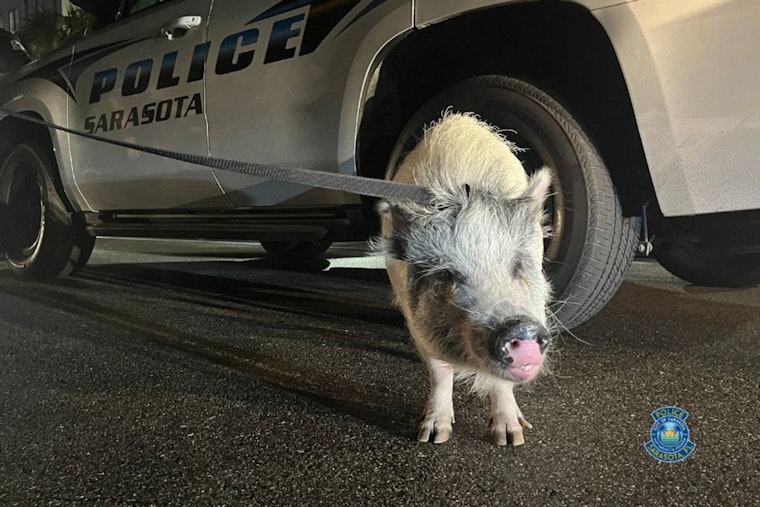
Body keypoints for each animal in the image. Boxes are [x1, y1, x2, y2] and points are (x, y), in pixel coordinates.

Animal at [375, 113, 554, 446]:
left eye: (517, 265)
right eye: (447, 274)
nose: (519, 327)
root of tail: (458, 120)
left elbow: (501, 383)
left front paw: (511, 439)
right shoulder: (417, 320)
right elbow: (438, 370)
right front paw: (432, 436)